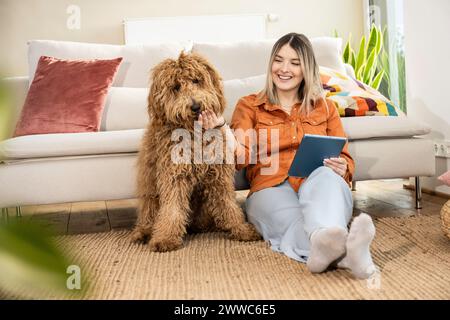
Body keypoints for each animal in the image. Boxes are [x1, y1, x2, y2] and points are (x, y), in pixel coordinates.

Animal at [130, 53, 260, 252]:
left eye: (196, 80)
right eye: (176, 87)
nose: (196, 106)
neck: (193, 132)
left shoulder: (219, 176)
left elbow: (229, 204)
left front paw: (241, 229)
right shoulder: (173, 177)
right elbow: (172, 209)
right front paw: (166, 238)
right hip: (150, 193)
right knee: (148, 215)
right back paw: (142, 233)